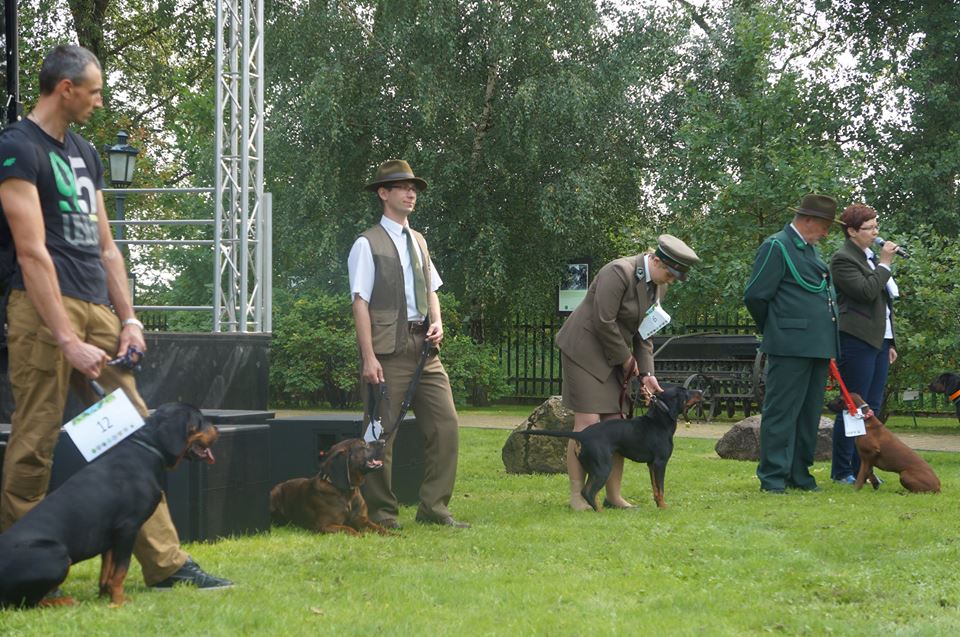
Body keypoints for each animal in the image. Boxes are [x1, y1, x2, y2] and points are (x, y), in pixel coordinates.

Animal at [0, 403, 218, 608]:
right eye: (200, 421)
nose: (217, 429)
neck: (147, 448)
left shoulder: (111, 535)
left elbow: (108, 571)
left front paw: (105, 597)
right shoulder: (128, 528)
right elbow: (121, 569)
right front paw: (119, 602)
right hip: (58, 555)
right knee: (25, 602)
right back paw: (64, 601)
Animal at [519, 385, 701, 510]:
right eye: (685, 392)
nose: (700, 390)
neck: (659, 421)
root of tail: (582, 435)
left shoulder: (651, 465)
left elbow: (655, 488)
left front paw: (658, 505)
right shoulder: (660, 463)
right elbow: (661, 488)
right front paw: (664, 507)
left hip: (595, 468)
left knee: (587, 491)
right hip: (603, 467)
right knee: (588, 492)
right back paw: (600, 511)